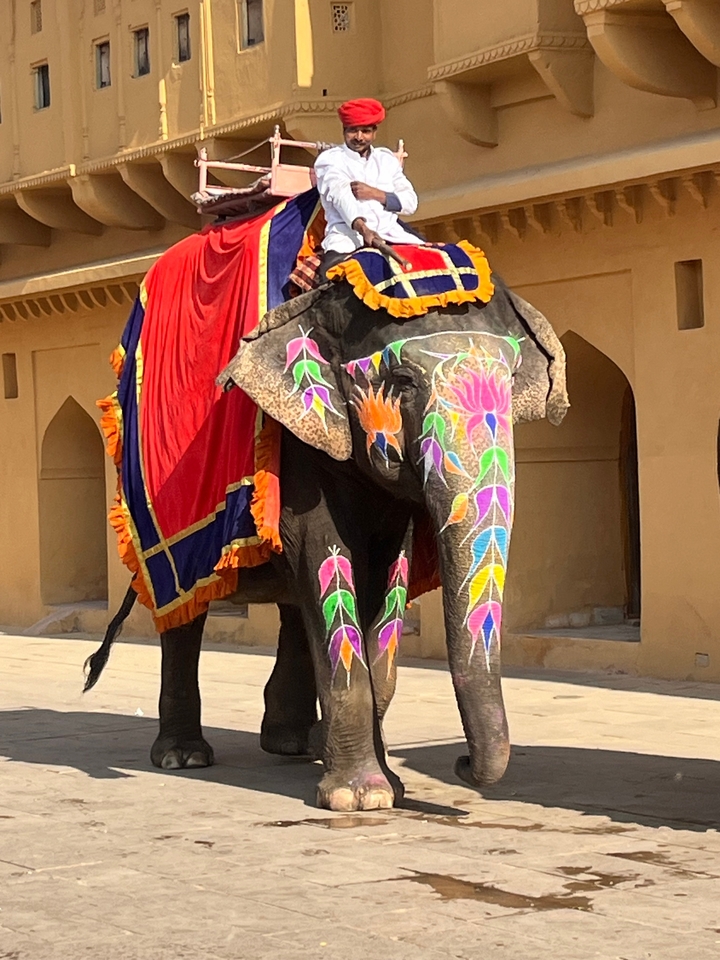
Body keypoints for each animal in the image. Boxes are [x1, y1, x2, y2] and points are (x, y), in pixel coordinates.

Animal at [88, 272, 567, 812]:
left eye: (512, 378)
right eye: (403, 381)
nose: (462, 763)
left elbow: (383, 581)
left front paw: (390, 787)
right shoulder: (299, 448)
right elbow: (326, 556)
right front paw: (360, 798)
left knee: (292, 606)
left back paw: (292, 744)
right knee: (182, 610)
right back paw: (182, 757)